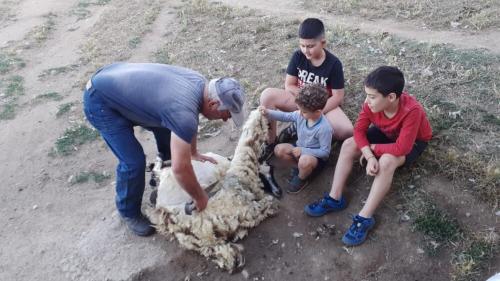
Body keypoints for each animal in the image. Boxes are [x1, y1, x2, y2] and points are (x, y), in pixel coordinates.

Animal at [150, 109, 280, 272]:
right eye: (261, 122)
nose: (263, 110)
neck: (239, 175)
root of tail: (168, 216)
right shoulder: (249, 208)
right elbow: (266, 204)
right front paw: (272, 206)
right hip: (205, 235)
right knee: (221, 252)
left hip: (193, 239)